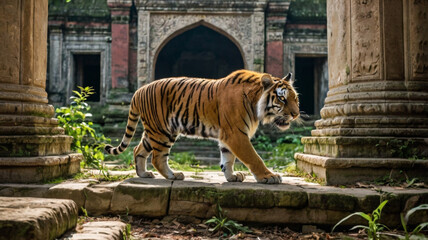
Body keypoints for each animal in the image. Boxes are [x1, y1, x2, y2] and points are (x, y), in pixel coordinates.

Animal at [105, 69, 300, 184]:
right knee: (157, 157)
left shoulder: (228, 137)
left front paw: (232, 176)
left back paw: (143, 174)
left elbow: (227, 159)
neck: (255, 102)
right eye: (282, 98)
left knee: (138, 150)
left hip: (155, 131)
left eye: (295, 98)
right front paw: (269, 176)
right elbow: (253, 157)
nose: (296, 114)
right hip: (162, 132)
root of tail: (138, 91)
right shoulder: (236, 134)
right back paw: (174, 175)